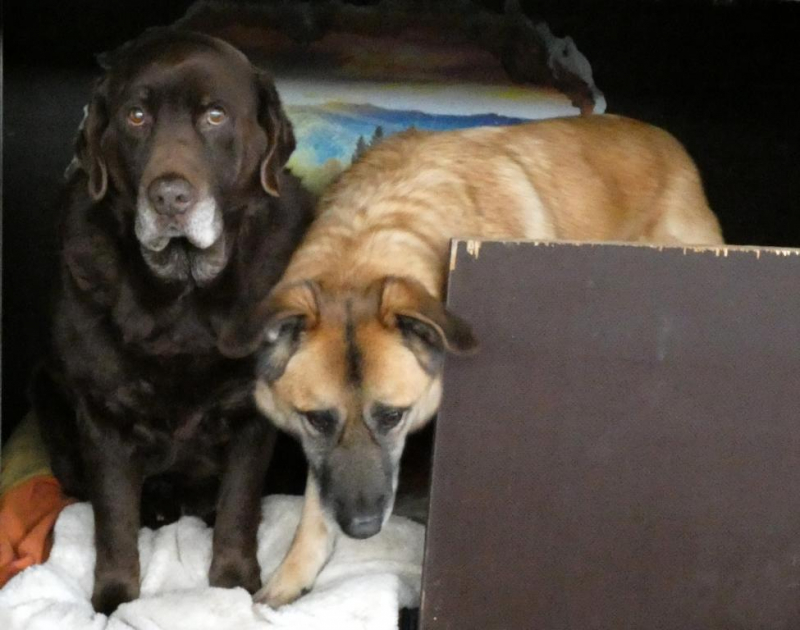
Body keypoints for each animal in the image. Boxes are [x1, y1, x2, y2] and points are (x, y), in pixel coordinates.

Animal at [31, 28, 314, 614]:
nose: (169, 196)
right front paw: (114, 600)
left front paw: (233, 584)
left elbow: (239, 507)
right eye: (136, 116)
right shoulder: (104, 416)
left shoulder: (252, 415)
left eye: (215, 116)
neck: (184, 295)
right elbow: (113, 520)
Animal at [218, 114, 725, 606]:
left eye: (393, 416)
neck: (373, 230)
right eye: (317, 420)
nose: (363, 529)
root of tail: (663, 138)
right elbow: (314, 506)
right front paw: (291, 576)